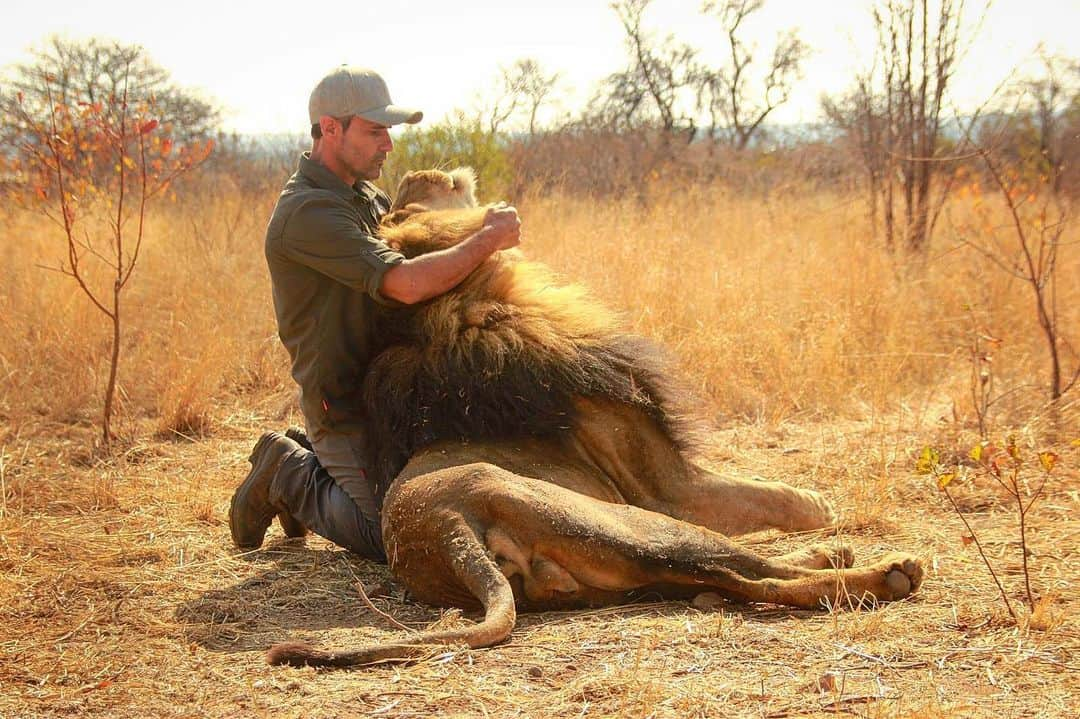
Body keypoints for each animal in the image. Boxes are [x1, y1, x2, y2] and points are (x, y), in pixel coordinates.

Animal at [265, 168, 924, 665]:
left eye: (396, 205)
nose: (409, 175)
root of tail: (443, 529)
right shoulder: (671, 487)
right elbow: (774, 495)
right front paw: (823, 507)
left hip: (627, 563)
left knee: (729, 577)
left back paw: (837, 559)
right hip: (634, 523)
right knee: (752, 576)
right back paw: (884, 571)